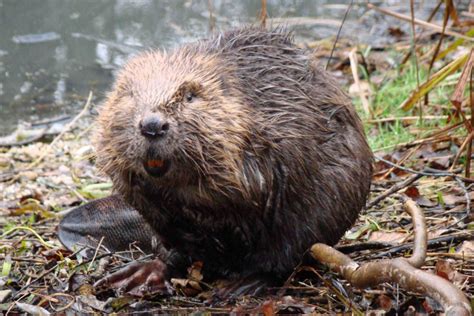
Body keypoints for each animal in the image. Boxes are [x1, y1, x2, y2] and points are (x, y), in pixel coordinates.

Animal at [62, 27, 370, 294]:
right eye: (130, 94)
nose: (152, 125)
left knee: (285, 254)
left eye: (189, 96)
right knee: (172, 255)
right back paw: (139, 274)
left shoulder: (272, 123)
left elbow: (249, 184)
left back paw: (241, 284)